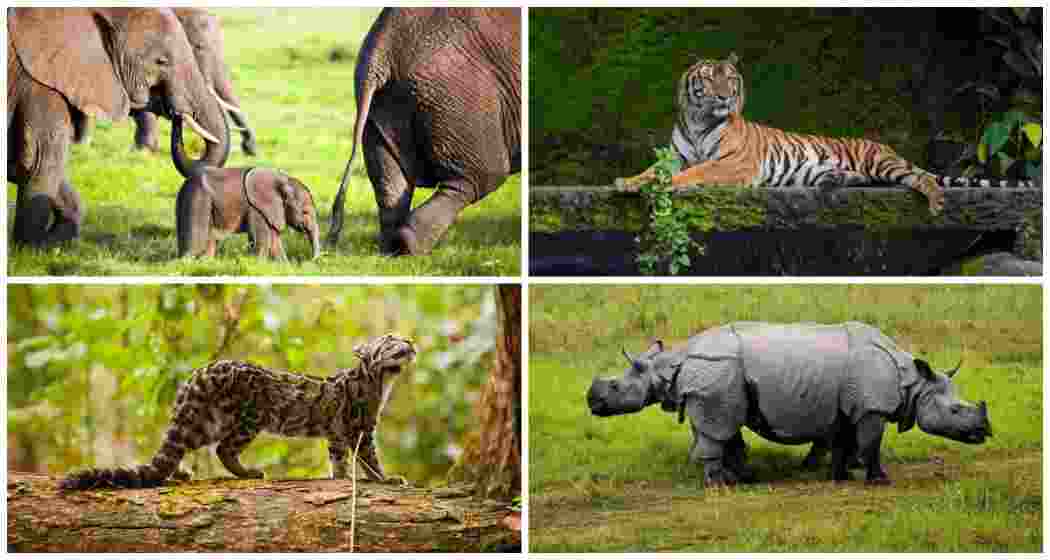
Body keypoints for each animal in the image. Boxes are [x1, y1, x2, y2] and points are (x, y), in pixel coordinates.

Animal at [8, 7, 231, 247]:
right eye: (161, 61)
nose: (178, 114)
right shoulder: (39, 85)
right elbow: (37, 161)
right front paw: (33, 247)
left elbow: (25, 166)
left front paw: (55, 242)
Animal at [175, 162, 320, 260]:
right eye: (305, 212)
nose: (312, 259)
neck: (283, 180)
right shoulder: (257, 208)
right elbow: (261, 241)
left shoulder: (269, 211)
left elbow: (274, 243)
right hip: (198, 199)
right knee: (196, 242)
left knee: (209, 241)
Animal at [327, 8, 522, 255]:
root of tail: (382, 47)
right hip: (458, 92)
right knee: (479, 177)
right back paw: (408, 247)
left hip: (383, 104)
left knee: (391, 186)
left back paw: (390, 251)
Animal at [587, 322, 992, 486]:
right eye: (956, 411)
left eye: (615, 387)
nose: (985, 431)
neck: (913, 384)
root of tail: (689, 354)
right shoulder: (871, 408)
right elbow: (870, 444)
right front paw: (879, 481)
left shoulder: (850, 404)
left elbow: (845, 441)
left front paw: (840, 477)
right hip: (720, 371)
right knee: (720, 429)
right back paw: (722, 486)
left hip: (723, 373)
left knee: (723, 429)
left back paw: (736, 480)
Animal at [615, 53, 1036, 215]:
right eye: (709, 79)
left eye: (729, 79)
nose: (723, 96)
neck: (700, 120)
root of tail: (885, 145)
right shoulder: (677, 155)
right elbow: (654, 170)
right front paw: (627, 181)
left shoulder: (734, 165)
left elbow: (695, 172)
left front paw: (664, 186)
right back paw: (833, 179)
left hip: (880, 161)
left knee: (919, 178)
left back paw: (935, 201)